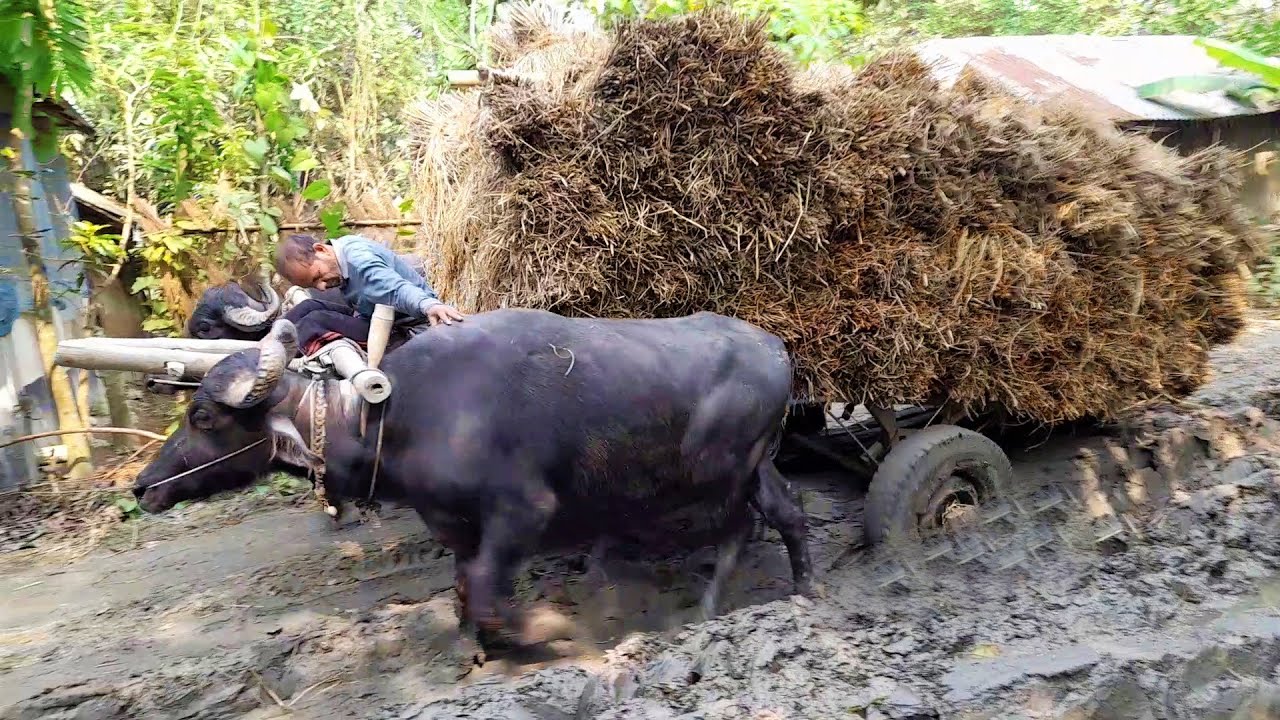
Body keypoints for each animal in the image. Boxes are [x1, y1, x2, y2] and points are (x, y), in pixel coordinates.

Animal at [133, 311, 814, 651]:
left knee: (739, 527)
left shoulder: (525, 512)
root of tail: (777, 348)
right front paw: (470, 648)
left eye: (203, 416)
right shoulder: (456, 527)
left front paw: (546, 636)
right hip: (758, 463)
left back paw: (712, 608)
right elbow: (465, 589)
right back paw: (804, 592)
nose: (142, 487)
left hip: (719, 472)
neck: (396, 416)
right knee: (787, 512)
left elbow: (488, 590)